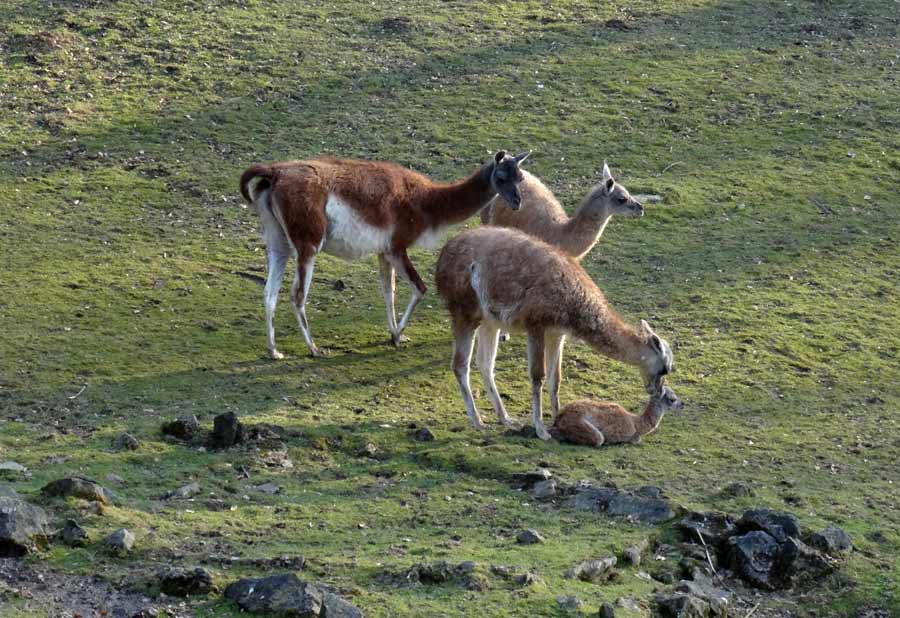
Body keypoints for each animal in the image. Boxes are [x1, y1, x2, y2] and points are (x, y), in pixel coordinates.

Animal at [548, 382, 684, 446]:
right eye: (672, 399)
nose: (683, 404)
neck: (636, 423)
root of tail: (560, 417)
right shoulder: (614, 432)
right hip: (580, 425)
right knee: (598, 439)